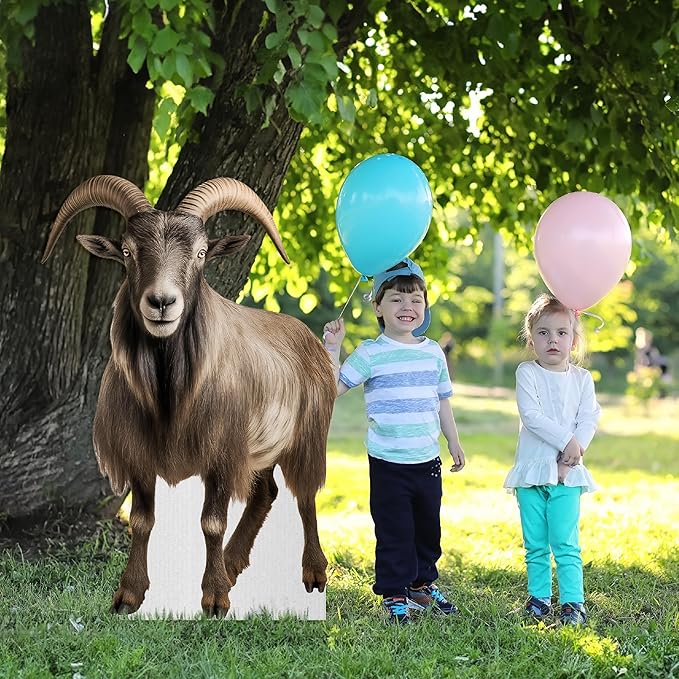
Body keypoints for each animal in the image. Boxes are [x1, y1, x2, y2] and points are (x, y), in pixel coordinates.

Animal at [42, 175, 336, 616]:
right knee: (265, 493)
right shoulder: (139, 455)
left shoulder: (221, 453)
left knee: (305, 495)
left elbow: (211, 522)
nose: (162, 302)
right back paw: (233, 564)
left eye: (200, 254)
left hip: (307, 437)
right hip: (260, 449)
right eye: (127, 251)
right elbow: (142, 521)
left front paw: (214, 599)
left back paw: (313, 573)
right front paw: (128, 596)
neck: (170, 396)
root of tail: (308, 336)